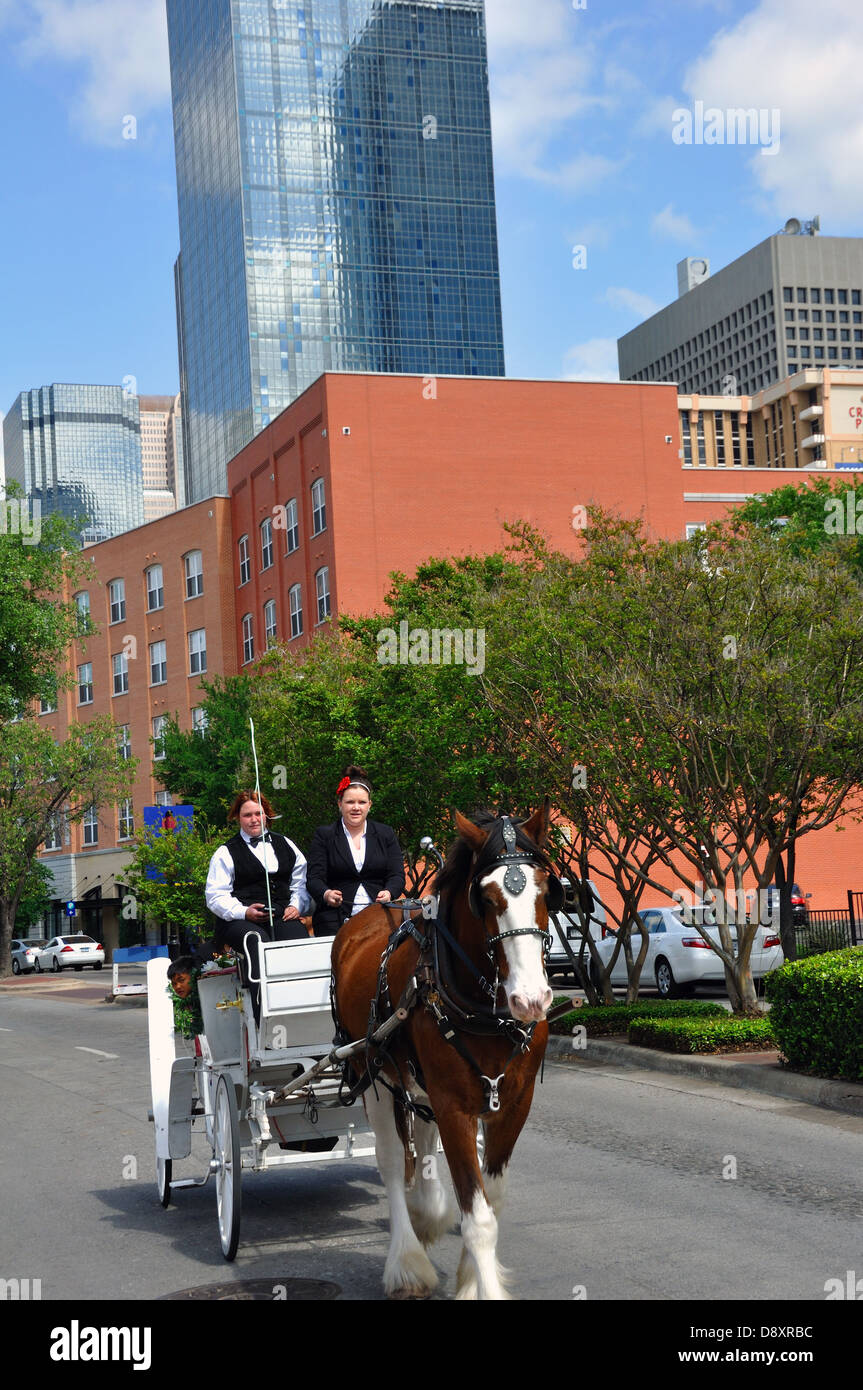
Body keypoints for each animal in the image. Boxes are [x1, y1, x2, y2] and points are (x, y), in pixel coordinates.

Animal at [329, 806, 558, 1301]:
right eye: (486, 898)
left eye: (547, 889)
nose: (531, 998)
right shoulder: (455, 1106)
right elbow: (479, 1218)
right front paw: (481, 1285)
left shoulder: (514, 1103)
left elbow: (492, 1201)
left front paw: (470, 1278)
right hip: (372, 1070)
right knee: (391, 1160)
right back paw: (406, 1262)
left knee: (422, 1138)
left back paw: (426, 1211)